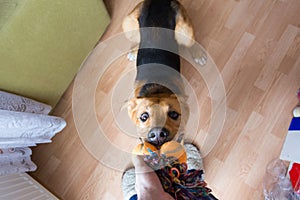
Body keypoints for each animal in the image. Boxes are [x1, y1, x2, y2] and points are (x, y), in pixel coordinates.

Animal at [122, 0, 206, 147]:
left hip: (184, 30)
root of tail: (158, 0)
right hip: (128, 23)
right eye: (144, 117)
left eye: (173, 114)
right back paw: (133, 51)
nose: (157, 135)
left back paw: (198, 54)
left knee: (191, 42)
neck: (156, 87)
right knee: (137, 39)